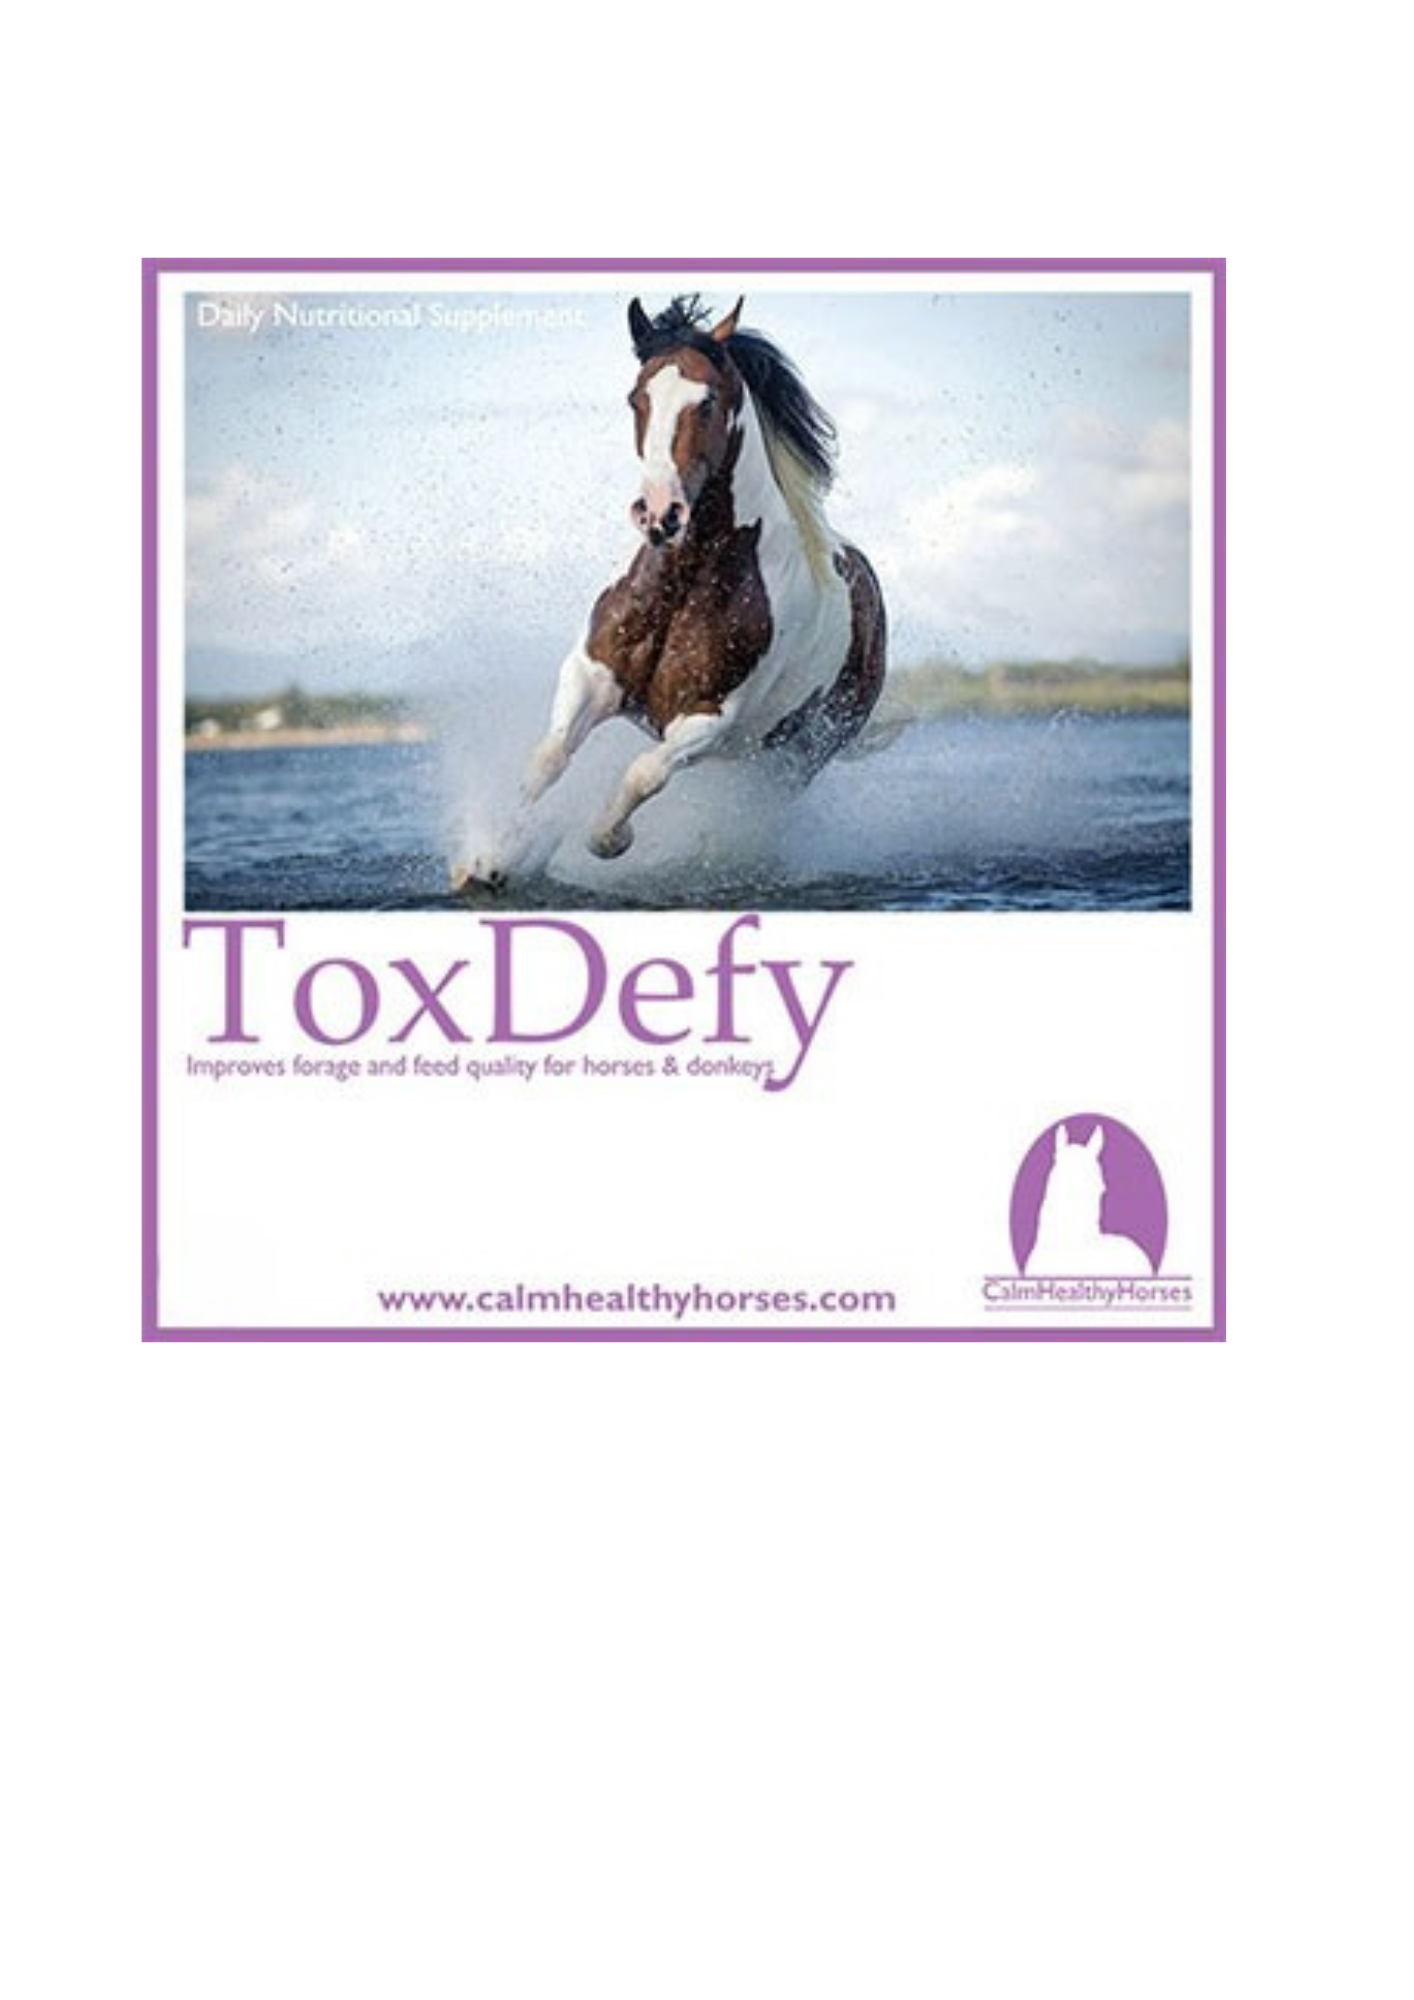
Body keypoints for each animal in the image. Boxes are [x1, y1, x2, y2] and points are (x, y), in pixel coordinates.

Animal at [453, 294, 886, 890]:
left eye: (707, 402)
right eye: (637, 398)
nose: (660, 513)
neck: (688, 581)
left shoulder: (711, 717)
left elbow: (643, 775)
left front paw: (609, 839)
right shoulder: (592, 675)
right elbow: (546, 760)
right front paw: (491, 859)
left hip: (795, 755)